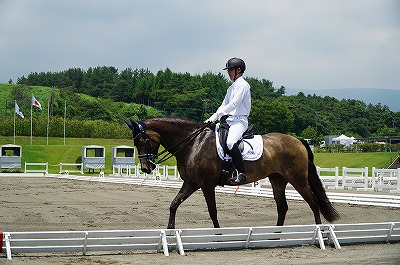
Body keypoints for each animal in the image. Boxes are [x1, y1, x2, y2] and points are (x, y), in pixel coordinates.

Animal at [125, 116, 338, 228]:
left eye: (142, 140)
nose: (145, 168)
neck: (193, 143)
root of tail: (298, 140)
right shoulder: (191, 183)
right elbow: (173, 204)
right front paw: (170, 230)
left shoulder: (206, 185)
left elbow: (212, 211)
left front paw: (218, 234)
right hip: (277, 179)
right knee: (282, 207)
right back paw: (276, 235)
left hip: (297, 179)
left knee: (313, 202)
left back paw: (319, 232)